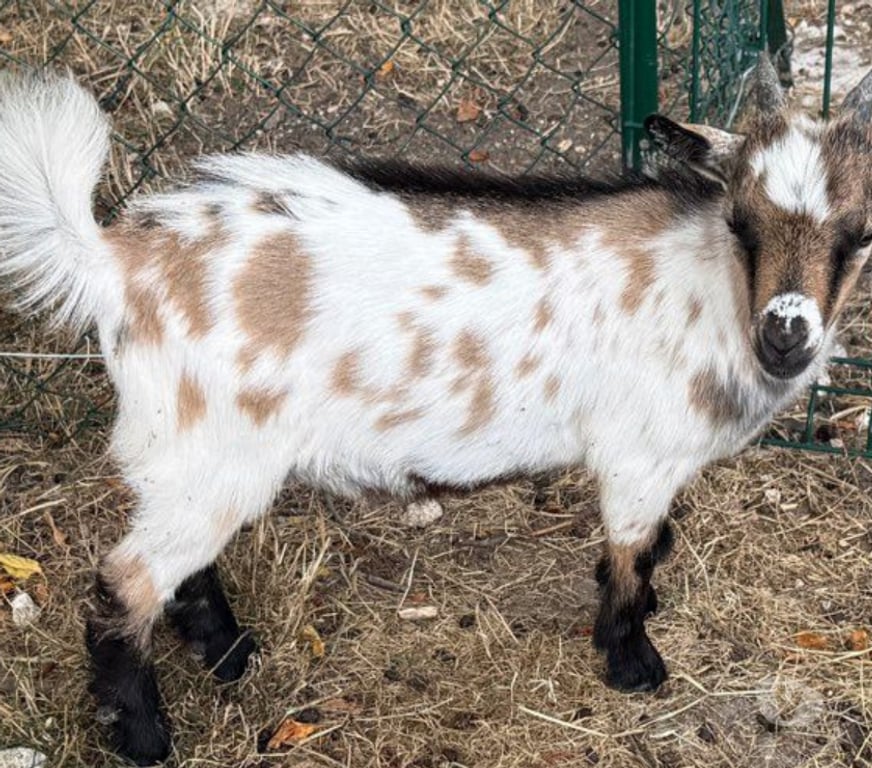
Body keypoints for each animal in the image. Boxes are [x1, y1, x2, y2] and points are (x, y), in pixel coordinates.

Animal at [0, 62, 870, 764]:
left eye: (858, 234)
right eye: (741, 222)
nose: (786, 336)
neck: (710, 291)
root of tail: (116, 259)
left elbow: (652, 551)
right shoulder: (638, 458)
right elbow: (630, 557)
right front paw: (632, 664)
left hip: (199, 460)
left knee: (177, 565)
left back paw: (232, 654)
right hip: (210, 453)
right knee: (125, 583)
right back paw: (145, 738)